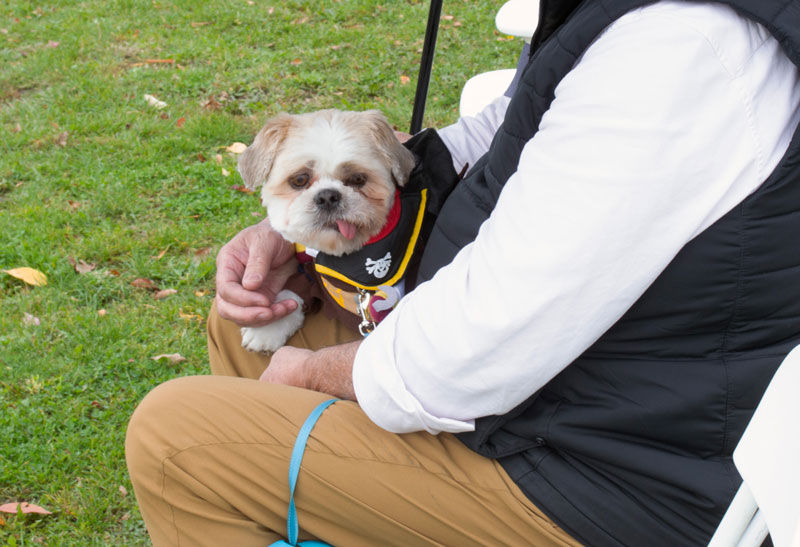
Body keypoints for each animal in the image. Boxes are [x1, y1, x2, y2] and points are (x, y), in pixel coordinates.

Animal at [234, 109, 416, 354]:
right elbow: (294, 289)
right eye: (300, 179)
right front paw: (269, 328)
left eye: (358, 179)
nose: (328, 196)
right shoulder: (308, 269)